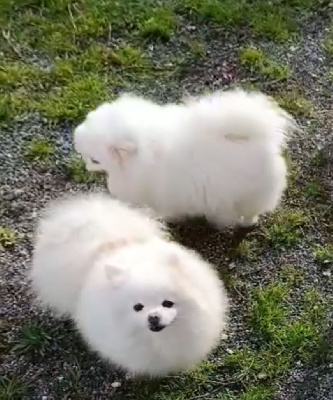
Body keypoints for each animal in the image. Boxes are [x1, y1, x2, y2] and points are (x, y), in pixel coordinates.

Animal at [73, 89, 294, 236]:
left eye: (94, 160)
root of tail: (259, 136)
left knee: (250, 213)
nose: (85, 166)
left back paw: (244, 224)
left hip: (249, 196)